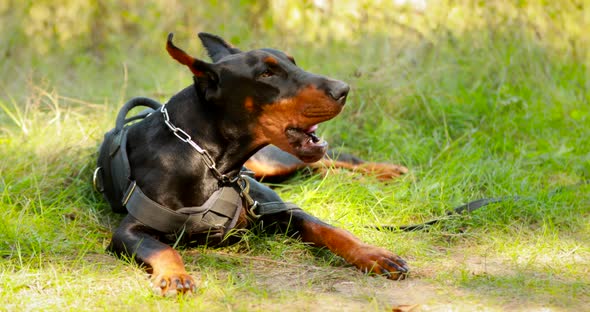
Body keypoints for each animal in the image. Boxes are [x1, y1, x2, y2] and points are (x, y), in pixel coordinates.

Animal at [99, 33, 410, 296]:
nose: (343, 89)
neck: (210, 163)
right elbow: (163, 249)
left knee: (335, 158)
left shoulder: (280, 207)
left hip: (270, 163)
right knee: (318, 166)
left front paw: (375, 254)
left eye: (293, 62)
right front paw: (175, 277)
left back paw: (388, 170)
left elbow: (331, 230)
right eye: (266, 74)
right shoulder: (130, 229)